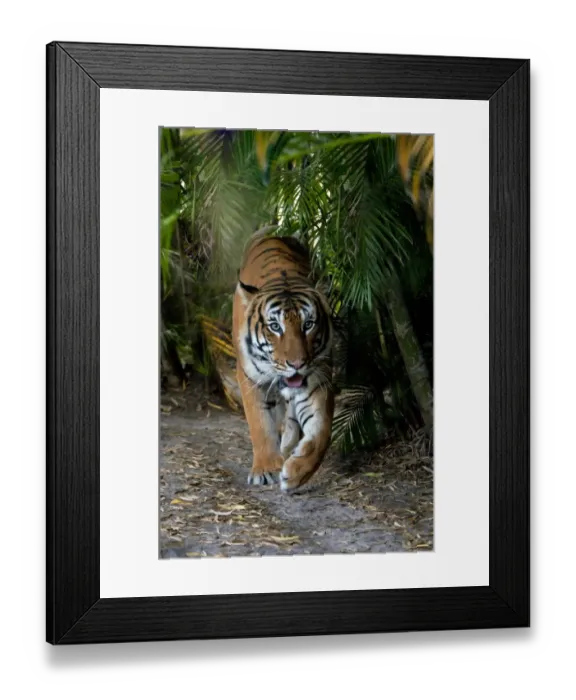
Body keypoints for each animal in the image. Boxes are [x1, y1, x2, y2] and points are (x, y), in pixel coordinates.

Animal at [232, 227, 335, 493]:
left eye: (308, 324)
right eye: (275, 327)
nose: (296, 364)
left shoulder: (317, 376)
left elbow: (321, 429)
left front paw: (297, 472)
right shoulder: (250, 379)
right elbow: (260, 424)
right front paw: (267, 468)